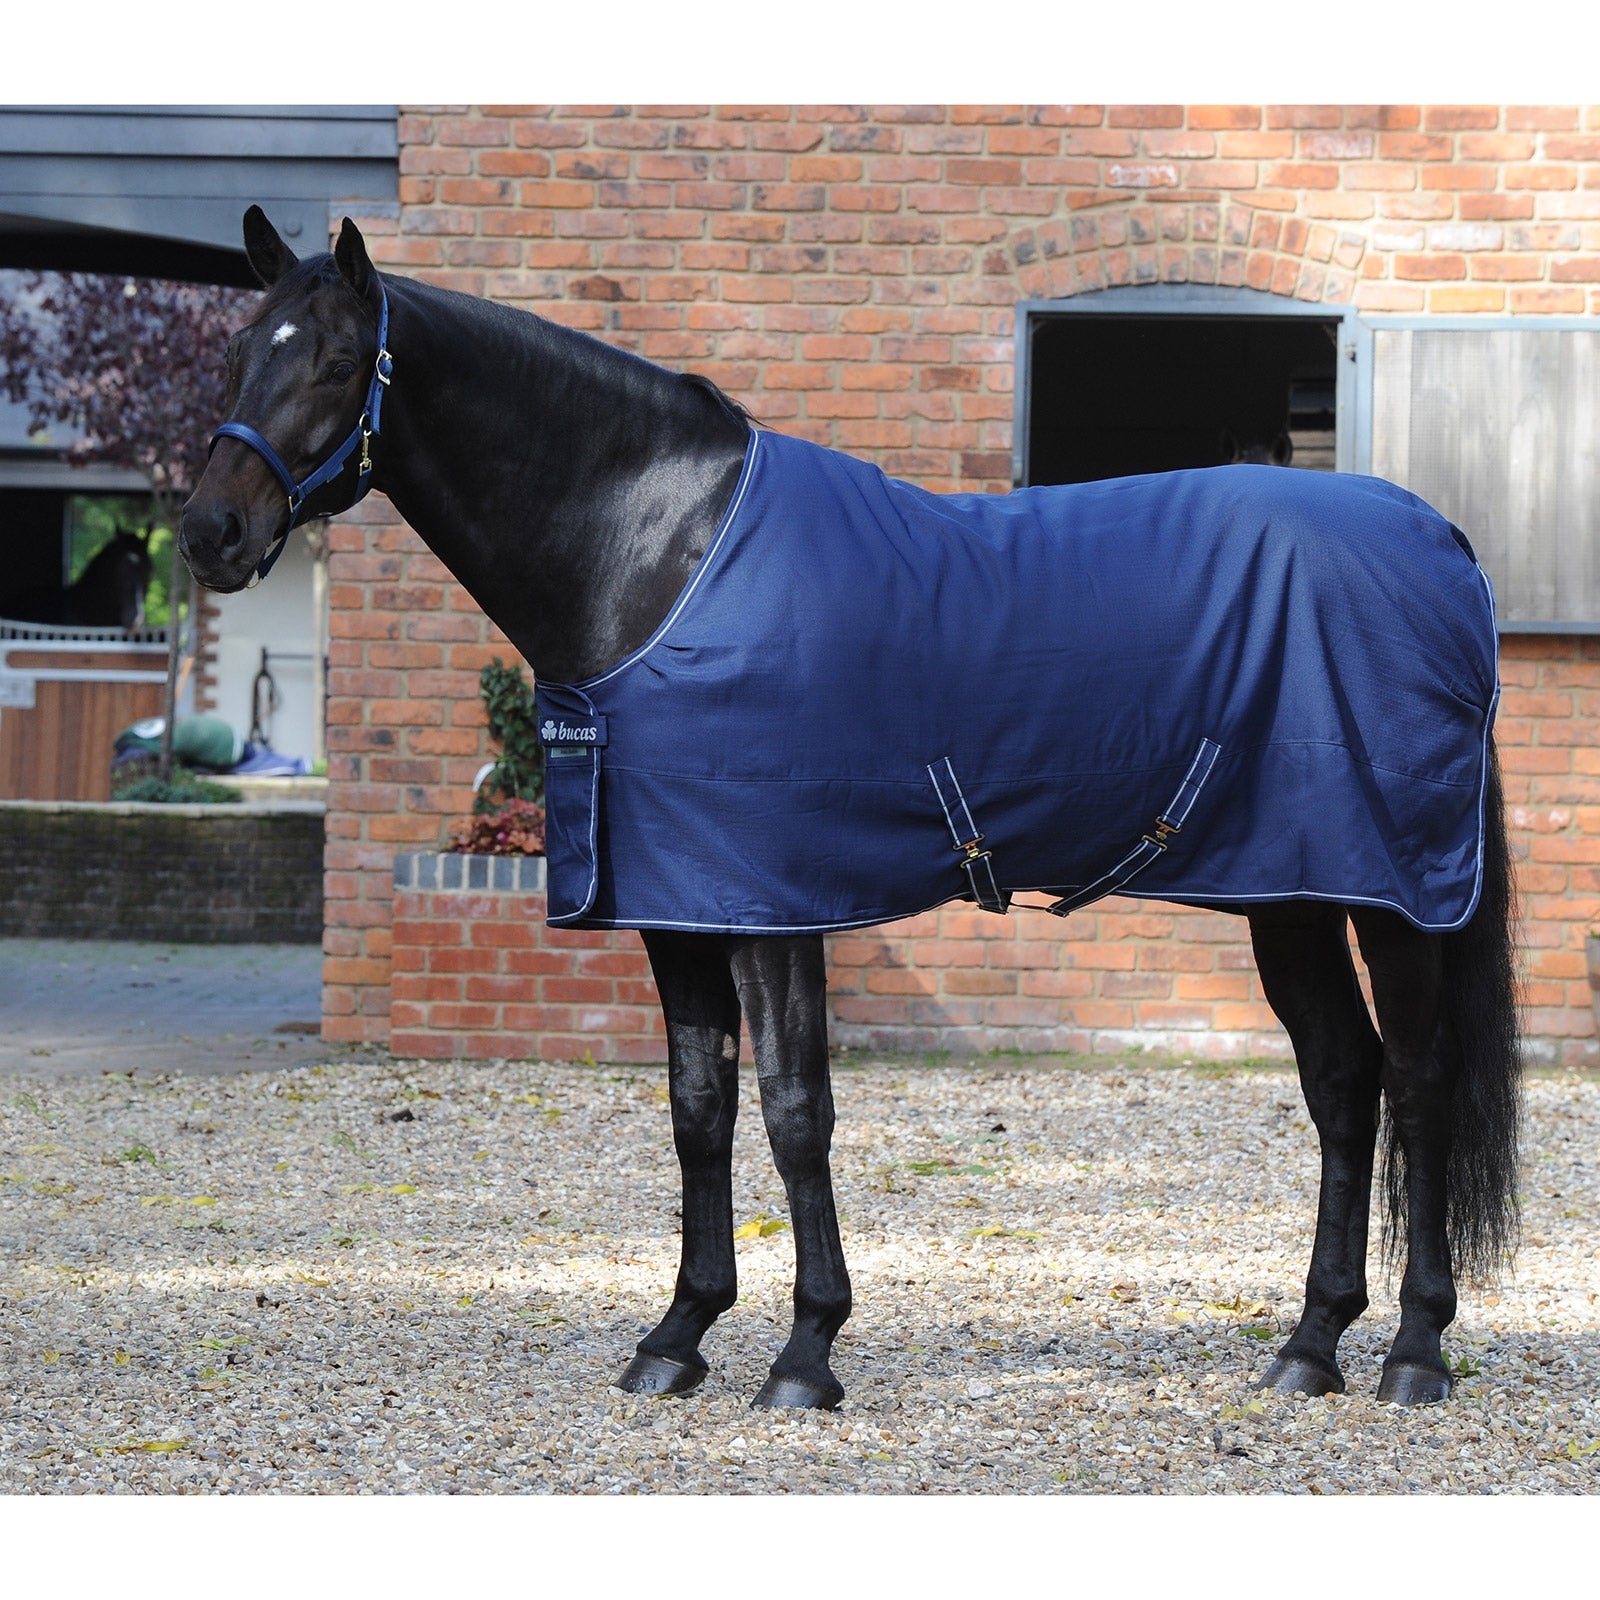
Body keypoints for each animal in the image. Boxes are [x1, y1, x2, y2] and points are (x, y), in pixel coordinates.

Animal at [179, 207, 1521, 1413]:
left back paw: (1413, 1352)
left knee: (1416, 1081)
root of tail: (1445, 543)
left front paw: (804, 1353)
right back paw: (1308, 1344)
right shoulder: (681, 907)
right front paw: (677, 1336)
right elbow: (700, 1108)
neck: (660, 559)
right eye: (241, 352)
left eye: (339, 360)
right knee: (1342, 1080)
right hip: (1290, 891)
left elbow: (794, 1110)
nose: (209, 532)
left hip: (1396, 898)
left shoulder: (776, 906)